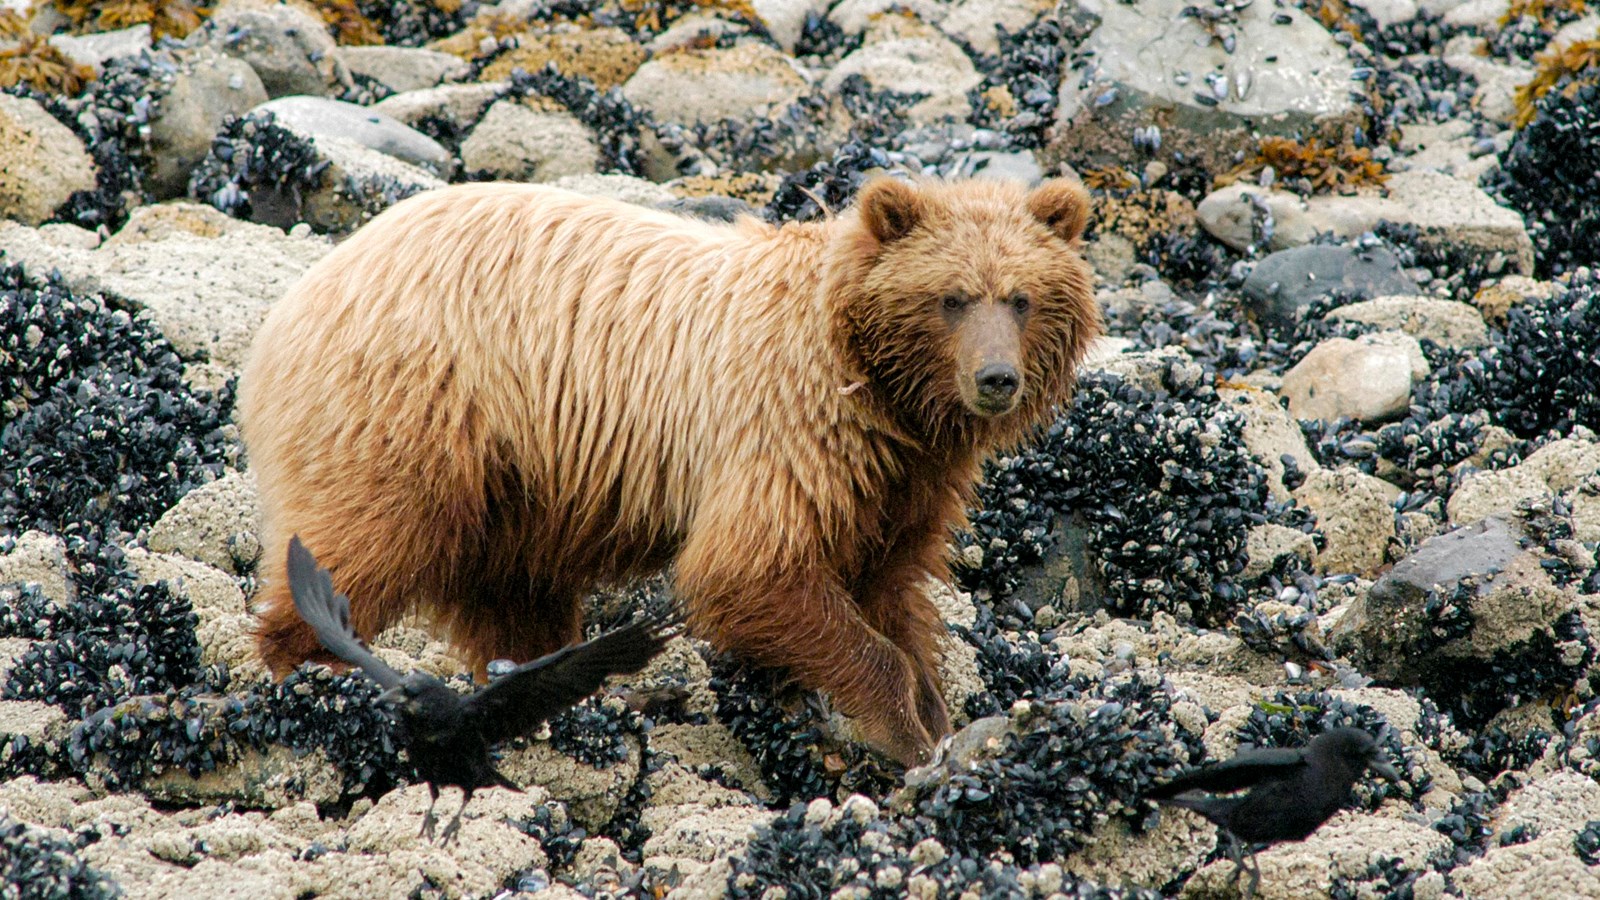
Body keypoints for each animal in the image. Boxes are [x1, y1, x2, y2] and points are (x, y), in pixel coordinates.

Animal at [240, 176, 1100, 762]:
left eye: (1021, 298)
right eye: (952, 297)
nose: (996, 379)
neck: (879, 388)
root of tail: (298, 294)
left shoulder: (902, 479)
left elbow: (892, 586)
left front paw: (939, 714)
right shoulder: (787, 428)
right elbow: (749, 569)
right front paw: (904, 730)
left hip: (517, 488)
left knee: (514, 597)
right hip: (414, 412)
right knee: (360, 541)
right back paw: (306, 678)